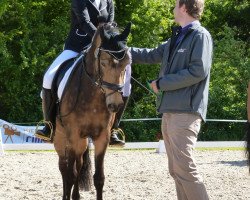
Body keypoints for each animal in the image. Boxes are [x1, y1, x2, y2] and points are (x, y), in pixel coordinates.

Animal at [52, 22, 131, 200]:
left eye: (126, 64)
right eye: (103, 62)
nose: (115, 105)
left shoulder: (102, 137)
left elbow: (99, 178)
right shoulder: (73, 135)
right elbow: (71, 174)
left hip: (81, 141)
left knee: (79, 164)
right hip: (61, 137)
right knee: (64, 168)